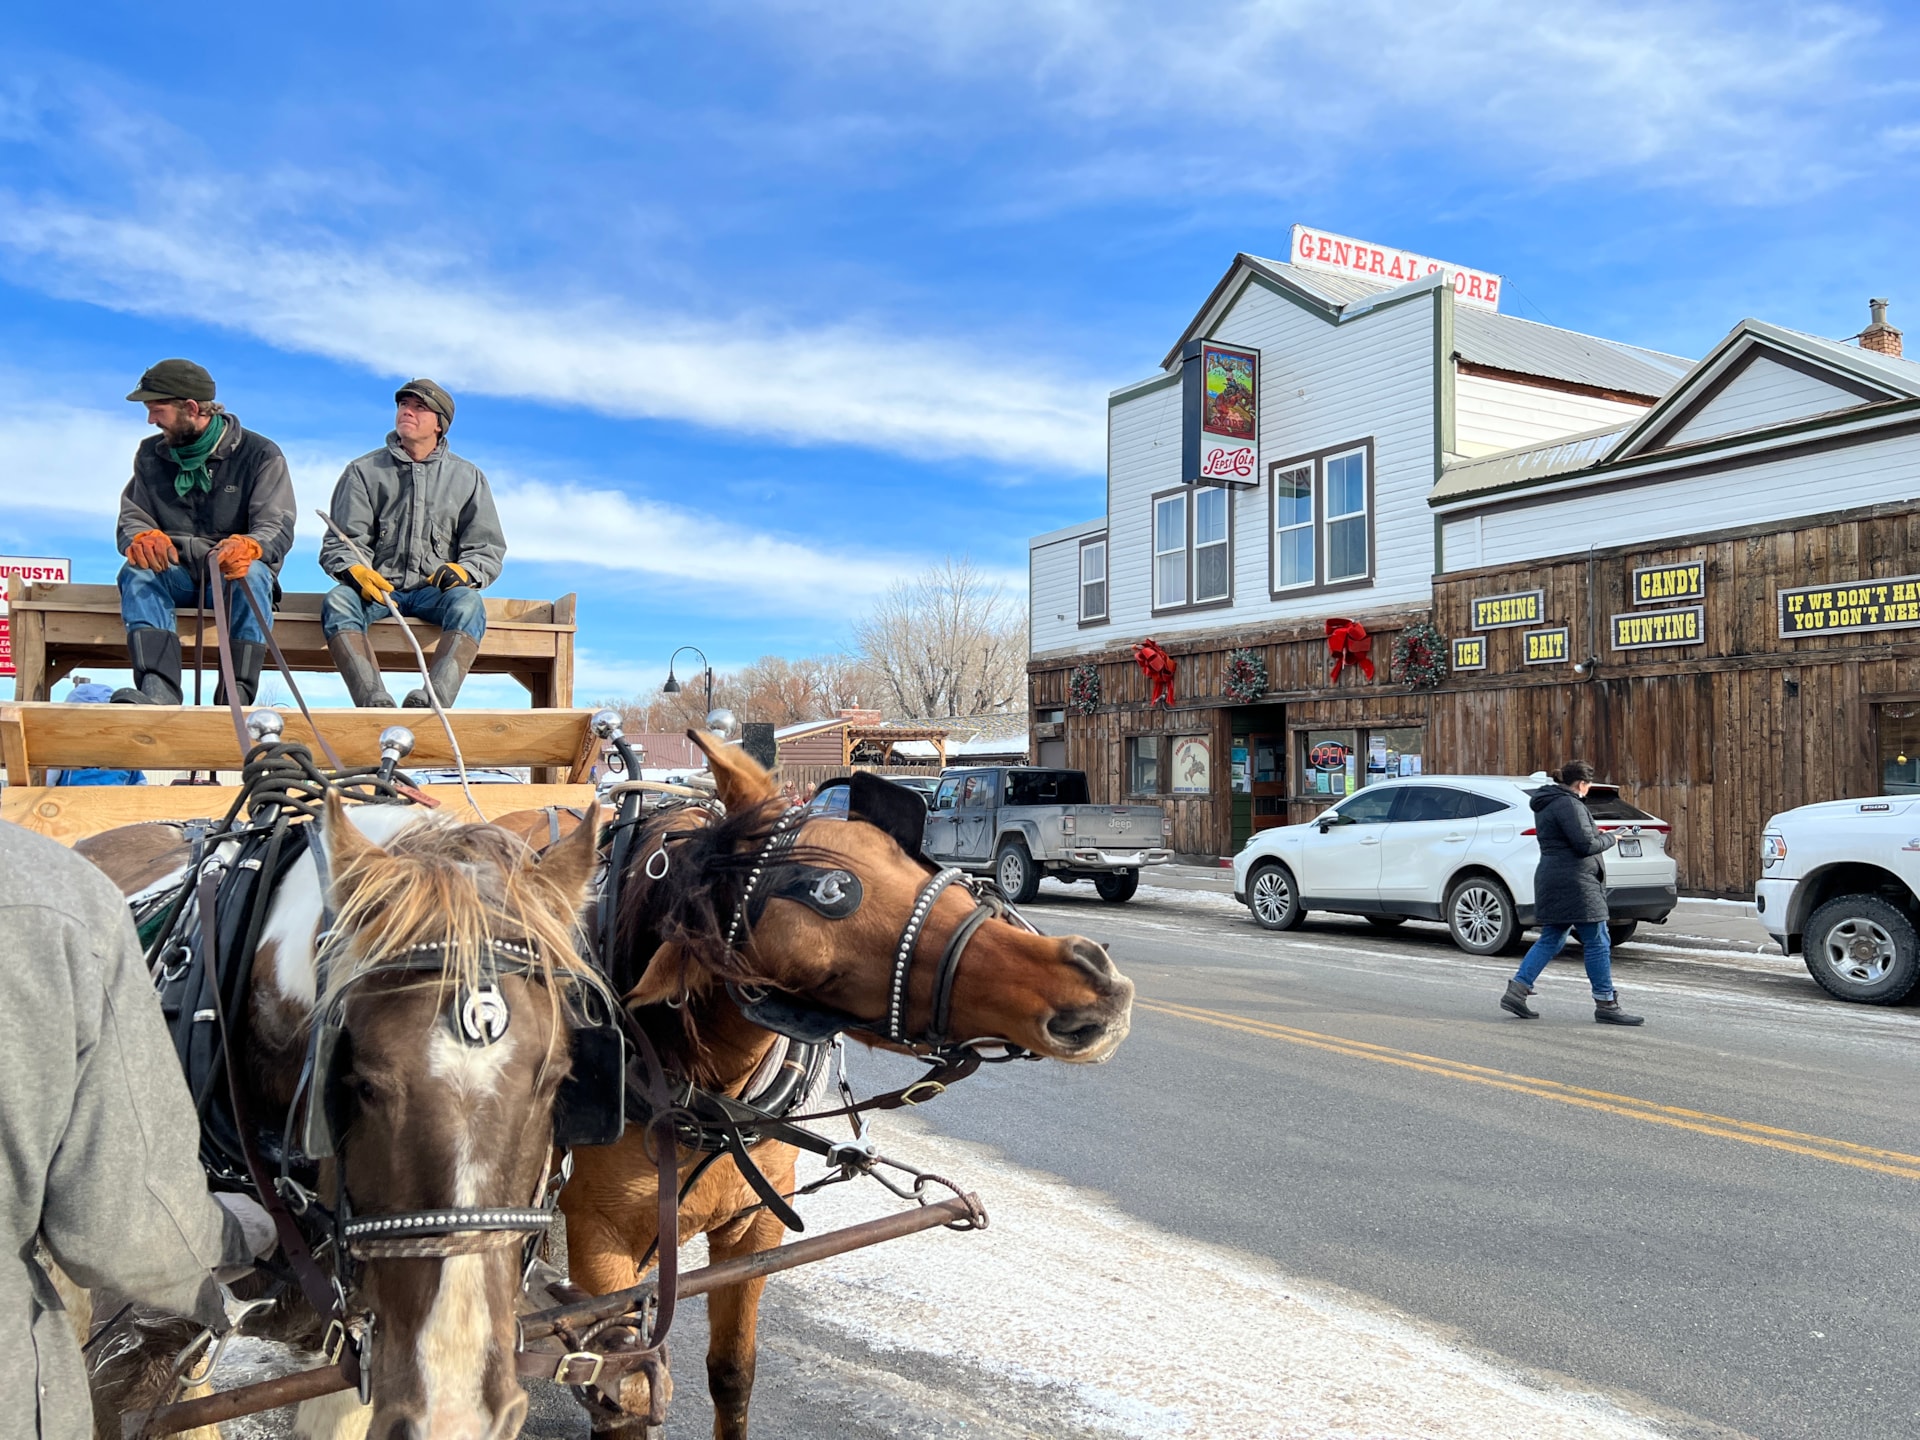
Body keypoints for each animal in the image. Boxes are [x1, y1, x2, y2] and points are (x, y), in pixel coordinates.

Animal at [526, 737, 1121, 1436]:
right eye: (831, 897)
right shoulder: (601, 1244)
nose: (1091, 980)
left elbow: (732, 1375)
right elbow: (624, 1392)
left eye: (899, 852)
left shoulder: (755, 1230)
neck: (696, 1087)